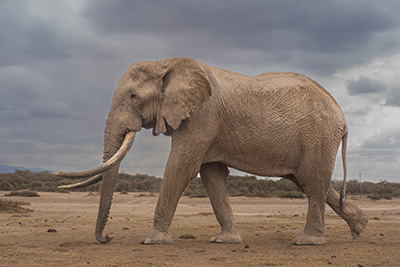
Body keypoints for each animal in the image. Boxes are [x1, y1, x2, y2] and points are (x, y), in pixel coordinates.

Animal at [54, 57, 368, 246]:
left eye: (132, 96)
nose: (106, 237)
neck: (166, 63)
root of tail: (341, 115)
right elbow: (212, 175)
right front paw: (226, 241)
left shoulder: (202, 116)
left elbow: (181, 166)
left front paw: (152, 241)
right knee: (309, 181)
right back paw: (360, 229)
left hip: (318, 136)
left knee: (313, 182)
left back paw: (307, 242)